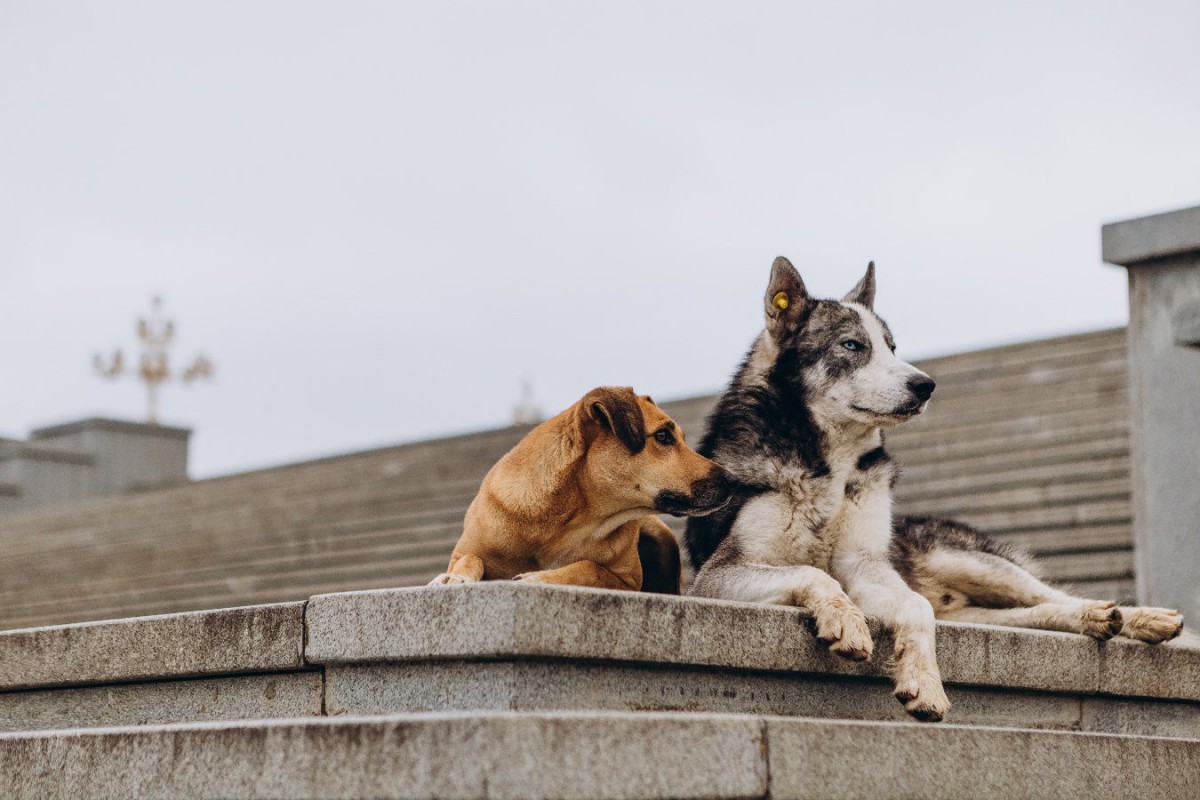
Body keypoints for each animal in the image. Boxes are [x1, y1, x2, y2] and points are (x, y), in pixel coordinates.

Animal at [432, 388, 729, 594]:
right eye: (663, 436)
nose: (733, 480)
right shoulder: (470, 546)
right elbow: (469, 557)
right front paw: (454, 576)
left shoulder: (629, 582)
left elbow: (591, 567)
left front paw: (538, 577)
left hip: (660, 533)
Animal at [686, 257, 1180, 724]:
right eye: (852, 346)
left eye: (892, 347)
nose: (925, 385)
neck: (828, 465)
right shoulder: (715, 576)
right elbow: (814, 574)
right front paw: (847, 621)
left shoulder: (866, 565)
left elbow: (915, 607)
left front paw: (924, 683)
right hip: (968, 603)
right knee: (1026, 613)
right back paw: (1102, 619)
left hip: (967, 562)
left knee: (1047, 596)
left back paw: (1131, 616)